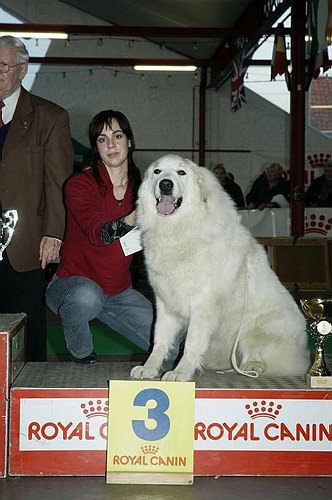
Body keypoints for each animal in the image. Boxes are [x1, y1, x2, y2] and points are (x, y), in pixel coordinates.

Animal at [130, 154, 308, 380]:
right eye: (157, 172)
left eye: (181, 172)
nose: (166, 184)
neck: (179, 230)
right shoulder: (165, 303)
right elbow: (159, 341)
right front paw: (149, 368)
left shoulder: (202, 305)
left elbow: (191, 344)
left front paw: (180, 373)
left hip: (252, 328)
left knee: (261, 355)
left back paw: (251, 366)